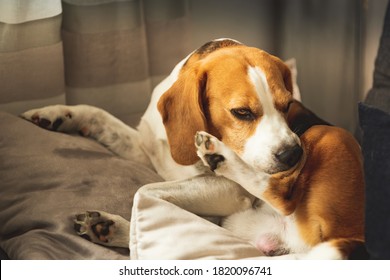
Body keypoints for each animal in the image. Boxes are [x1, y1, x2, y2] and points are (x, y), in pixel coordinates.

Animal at [21, 38, 364, 260]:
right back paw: (107, 227)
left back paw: (220, 156)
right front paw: (58, 114)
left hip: (330, 138)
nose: (294, 156)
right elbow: (98, 115)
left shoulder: (230, 189)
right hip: (238, 226)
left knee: (281, 196)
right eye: (242, 112)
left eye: (288, 104)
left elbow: (144, 192)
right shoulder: (148, 150)